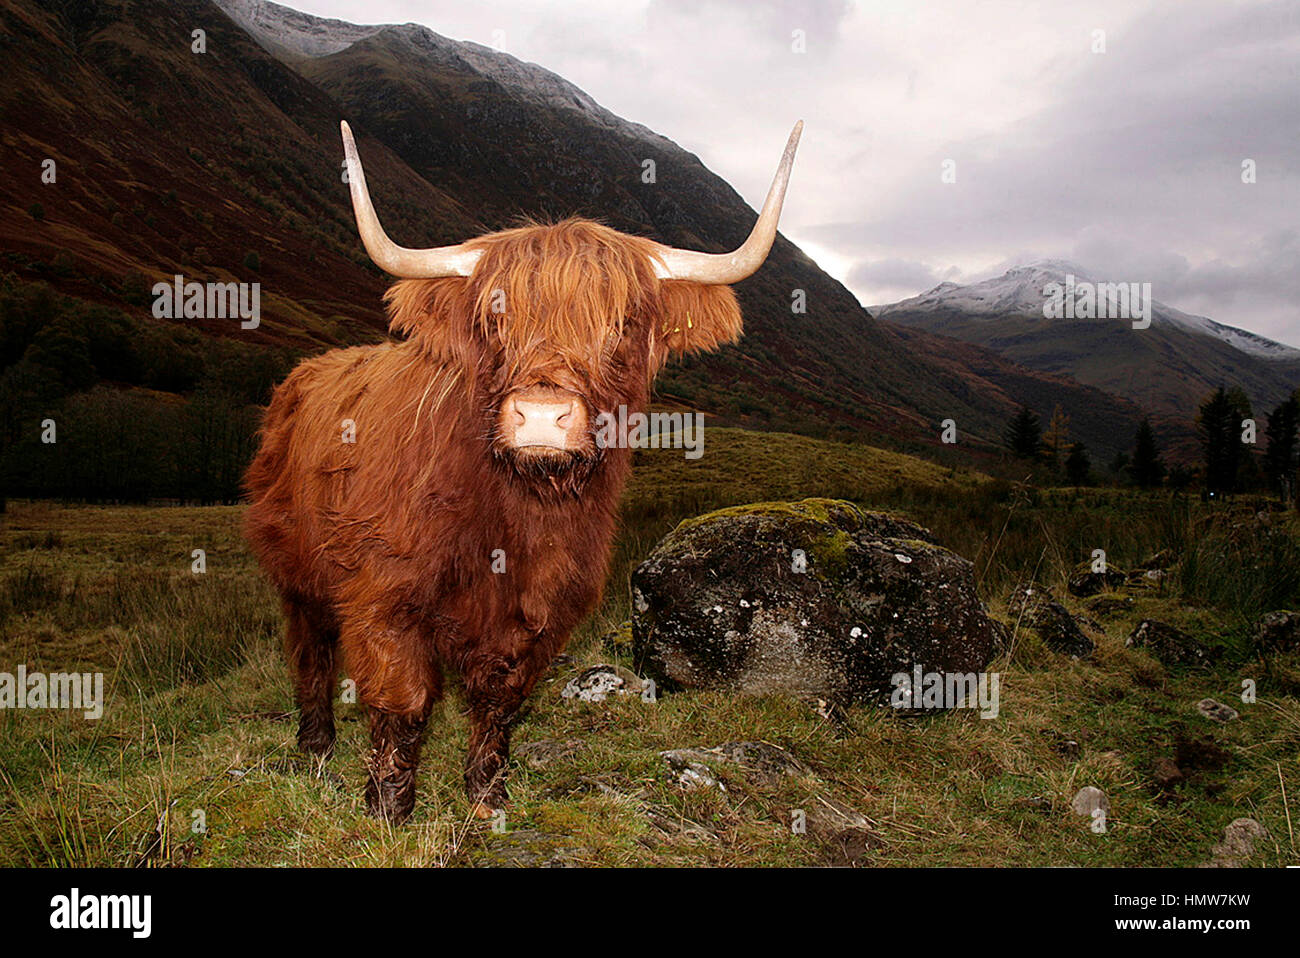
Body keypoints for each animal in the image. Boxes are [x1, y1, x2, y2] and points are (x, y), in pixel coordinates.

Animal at [243, 120, 801, 822]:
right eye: (495, 314)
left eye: (622, 324)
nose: (540, 416)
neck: (517, 515)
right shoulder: (384, 591)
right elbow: (402, 702)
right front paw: (387, 809)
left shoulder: (546, 607)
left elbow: (500, 702)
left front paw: (487, 799)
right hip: (296, 571)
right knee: (310, 652)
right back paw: (315, 746)